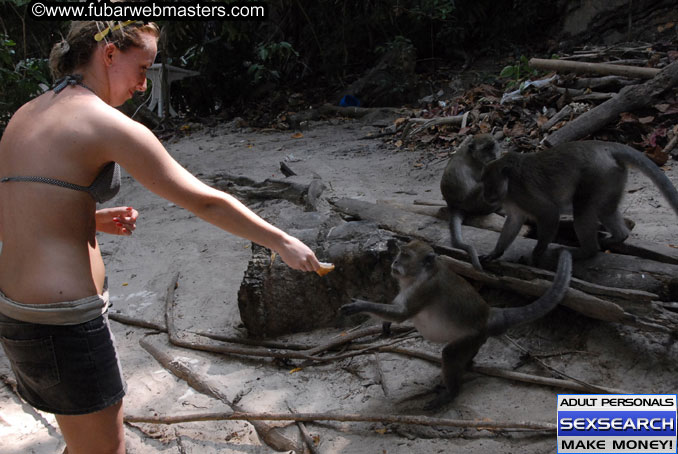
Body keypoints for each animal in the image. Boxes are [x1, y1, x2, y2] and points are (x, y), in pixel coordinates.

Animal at [340, 239, 572, 410]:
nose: (395, 263)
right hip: (477, 340)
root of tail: (488, 315)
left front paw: (360, 305)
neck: (421, 274)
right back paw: (467, 365)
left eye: (405, 256)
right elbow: (396, 311)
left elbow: (402, 314)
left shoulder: (424, 289)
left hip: (472, 336)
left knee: (450, 354)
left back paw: (451, 393)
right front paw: (385, 324)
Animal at [440, 134, 504, 270]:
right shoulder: (484, 167)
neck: (473, 156)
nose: (494, 154)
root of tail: (453, 205)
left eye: (493, 146)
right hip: (476, 204)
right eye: (485, 149)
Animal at [480, 140, 678, 264]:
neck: (508, 186)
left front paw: (534, 256)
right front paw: (495, 253)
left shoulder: (520, 192)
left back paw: (587, 251)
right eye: (484, 185)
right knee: (605, 210)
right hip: (611, 175)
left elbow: (549, 213)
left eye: (490, 186)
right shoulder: (512, 200)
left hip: (597, 173)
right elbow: (514, 221)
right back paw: (618, 237)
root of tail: (603, 146)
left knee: (582, 209)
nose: (486, 196)